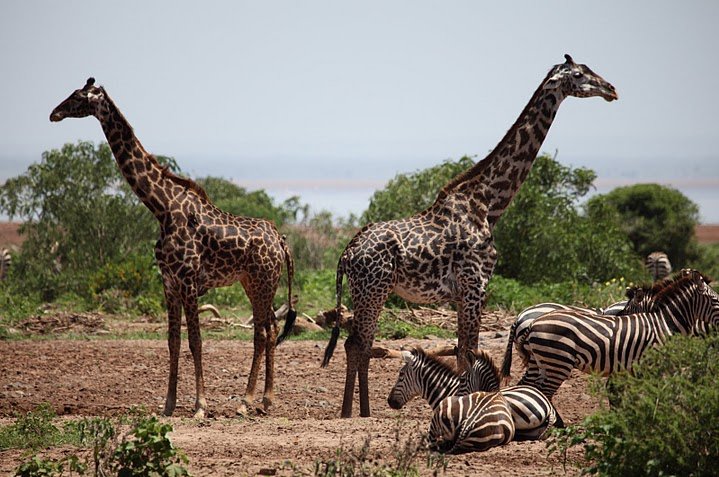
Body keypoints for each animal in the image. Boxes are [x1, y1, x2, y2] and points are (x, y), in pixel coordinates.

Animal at [50, 78, 296, 416]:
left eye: (77, 96)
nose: (54, 113)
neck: (161, 207)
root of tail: (281, 241)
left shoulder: (189, 282)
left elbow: (196, 341)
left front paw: (200, 405)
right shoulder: (168, 283)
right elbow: (173, 341)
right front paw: (168, 404)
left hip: (263, 280)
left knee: (260, 332)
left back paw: (246, 402)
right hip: (254, 282)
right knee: (270, 328)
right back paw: (267, 399)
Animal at [324, 54, 620, 414]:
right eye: (579, 75)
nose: (611, 89)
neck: (488, 203)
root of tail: (347, 253)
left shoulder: (463, 293)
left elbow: (463, 350)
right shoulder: (475, 287)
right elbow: (468, 352)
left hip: (368, 291)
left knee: (360, 344)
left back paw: (359, 412)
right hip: (373, 289)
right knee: (357, 344)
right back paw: (352, 414)